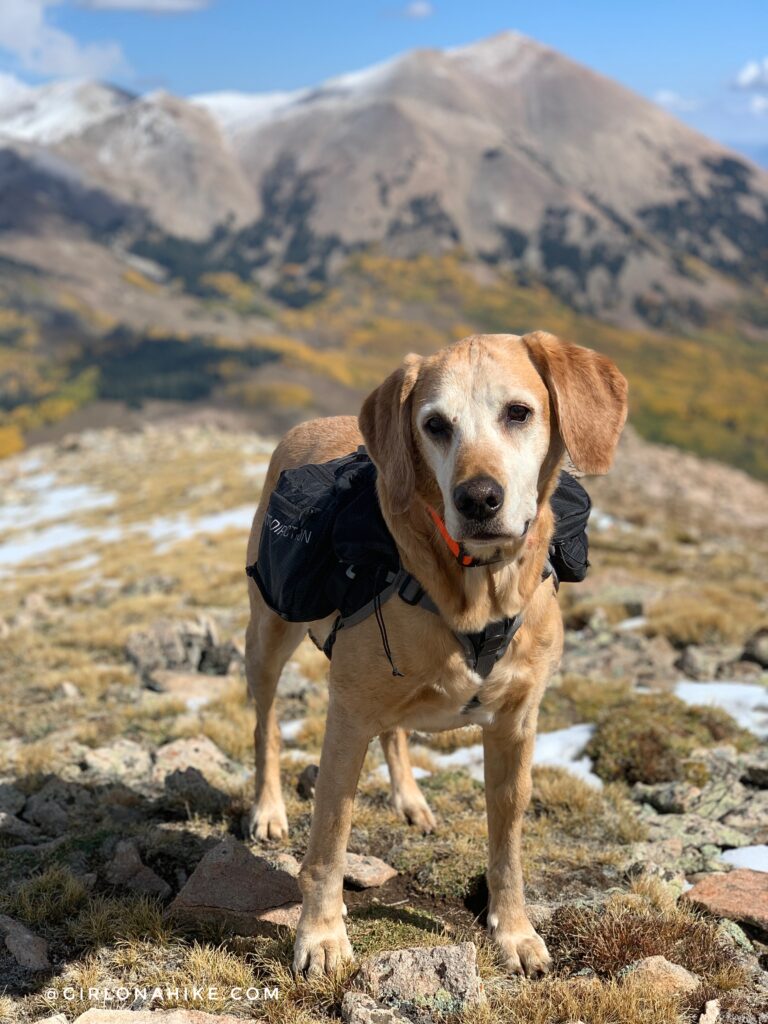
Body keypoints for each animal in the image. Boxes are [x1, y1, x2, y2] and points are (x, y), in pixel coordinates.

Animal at [243, 333, 626, 974]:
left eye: (518, 412)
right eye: (435, 425)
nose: (478, 498)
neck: (476, 590)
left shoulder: (516, 727)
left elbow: (507, 846)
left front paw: (513, 932)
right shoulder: (346, 719)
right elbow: (327, 843)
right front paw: (321, 936)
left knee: (395, 731)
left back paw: (410, 799)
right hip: (268, 637)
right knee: (266, 725)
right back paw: (269, 809)